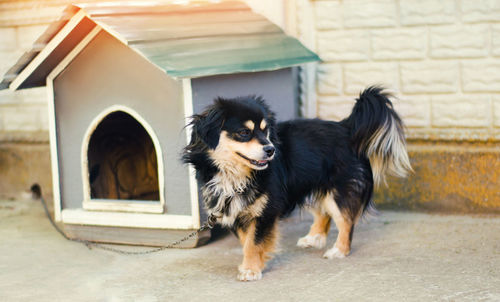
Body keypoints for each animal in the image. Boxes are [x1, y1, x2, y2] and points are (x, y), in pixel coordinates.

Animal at [182, 85, 412, 280]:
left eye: (265, 131)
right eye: (244, 133)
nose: (271, 149)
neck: (234, 174)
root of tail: (346, 127)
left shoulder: (265, 210)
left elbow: (253, 242)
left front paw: (251, 269)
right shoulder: (236, 209)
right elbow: (246, 240)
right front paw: (255, 264)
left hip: (337, 191)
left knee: (345, 221)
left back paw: (339, 250)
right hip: (312, 185)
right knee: (323, 213)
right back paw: (314, 238)